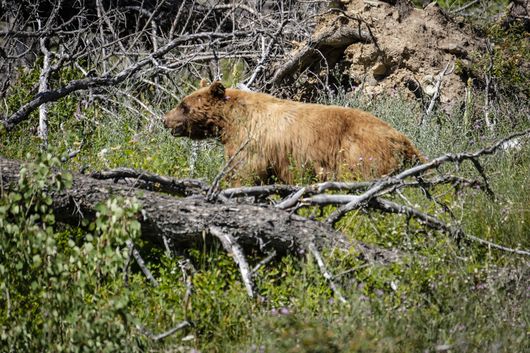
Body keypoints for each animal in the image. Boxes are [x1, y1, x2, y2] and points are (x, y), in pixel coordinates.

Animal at [163, 80, 422, 184]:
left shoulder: (252, 142)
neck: (231, 121)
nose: (165, 120)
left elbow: (245, 170)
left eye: (183, 105)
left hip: (360, 153)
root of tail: (405, 141)